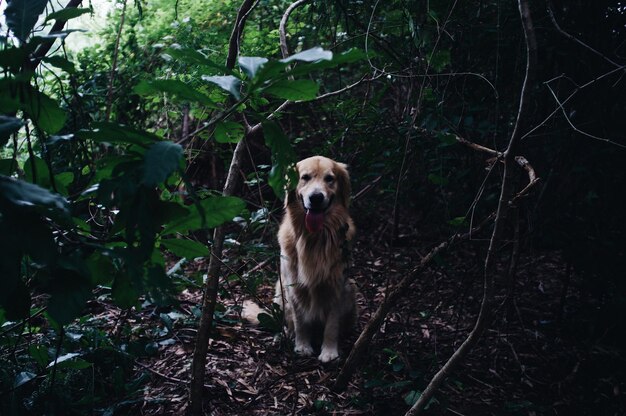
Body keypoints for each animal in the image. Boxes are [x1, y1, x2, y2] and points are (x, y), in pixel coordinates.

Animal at [272, 155, 356, 360]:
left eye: (329, 179)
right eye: (305, 177)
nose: (316, 197)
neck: (315, 238)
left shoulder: (338, 286)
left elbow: (332, 324)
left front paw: (330, 351)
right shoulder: (293, 284)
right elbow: (300, 320)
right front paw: (302, 346)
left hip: (352, 288)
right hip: (279, 291)